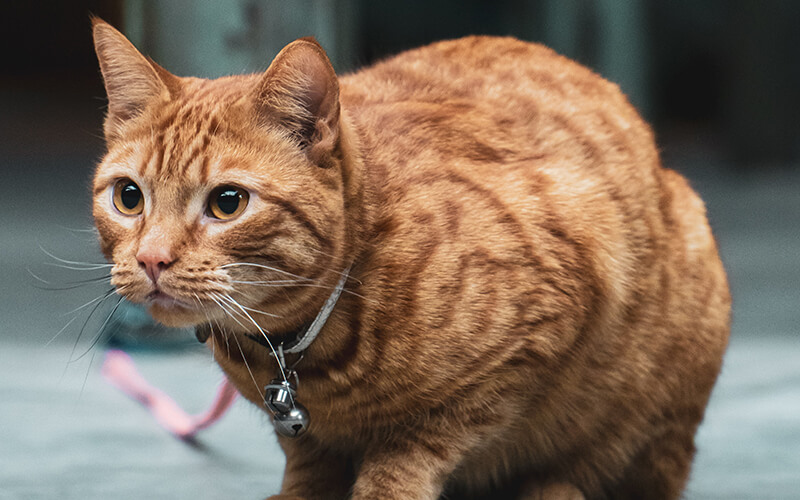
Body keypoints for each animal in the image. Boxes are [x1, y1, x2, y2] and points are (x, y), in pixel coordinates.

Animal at [90, 17, 728, 498]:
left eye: (227, 203)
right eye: (129, 197)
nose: (151, 259)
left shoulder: (540, 324)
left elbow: (411, 450)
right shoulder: (301, 433)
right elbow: (308, 462)